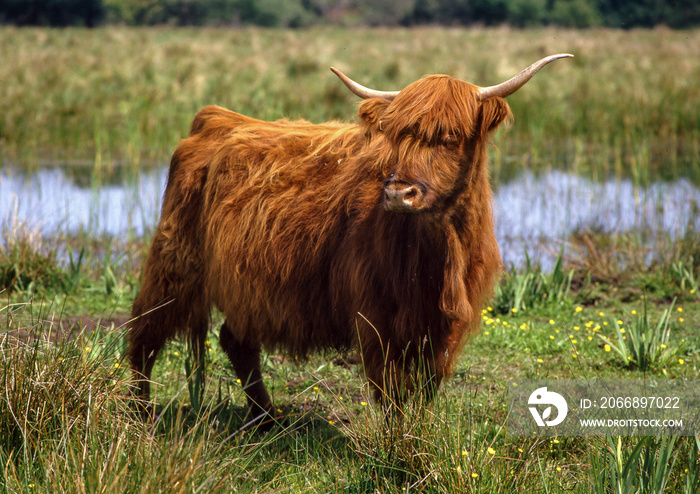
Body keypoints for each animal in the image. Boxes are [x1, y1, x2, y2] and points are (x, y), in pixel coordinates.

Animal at [129, 54, 572, 418]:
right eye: (396, 135)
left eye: (449, 137)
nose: (398, 193)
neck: (440, 253)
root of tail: (221, 118)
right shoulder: (376, 318)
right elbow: (392, 395)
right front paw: (400, 448)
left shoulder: (445, 326)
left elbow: (426, 388)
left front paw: (419, 436)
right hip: (176, 261)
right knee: (145, 331)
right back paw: (139, 411)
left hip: (247, 287)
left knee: (236, 342)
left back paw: (266, 419)